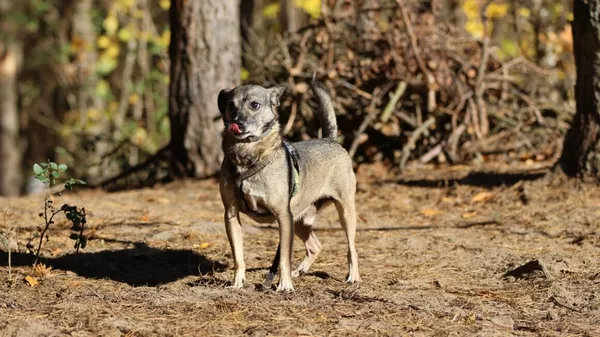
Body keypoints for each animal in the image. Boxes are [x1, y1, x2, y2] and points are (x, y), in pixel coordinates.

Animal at [218, 80, 358, 290]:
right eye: (230, 105)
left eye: (254, 105)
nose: (238, 124)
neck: (247, 153)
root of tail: (330, 139)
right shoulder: (231, 214)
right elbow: (238, 255)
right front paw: (237, 282)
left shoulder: (283, 216)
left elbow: (284, 256)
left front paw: (284, 285)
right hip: (299, 219)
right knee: (315, 246)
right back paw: (299, 271)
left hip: (344, 212)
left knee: (352, 247)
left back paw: (353, 276)